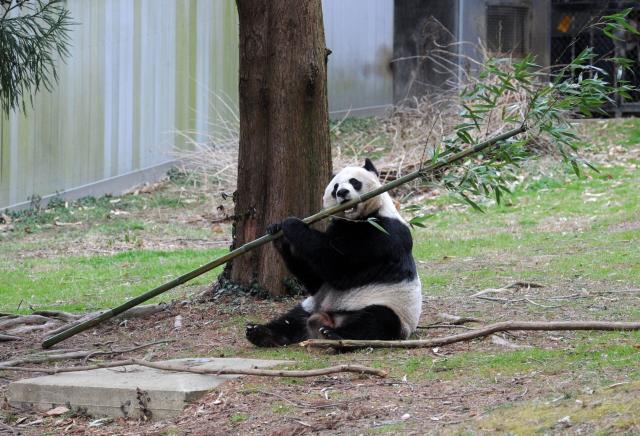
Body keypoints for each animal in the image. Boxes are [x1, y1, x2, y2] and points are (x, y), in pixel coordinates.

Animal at [244, 158, 420, 346]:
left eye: (354, 182)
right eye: (335, 187)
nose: (342, 192)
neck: (356, 220)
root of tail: (328, 319)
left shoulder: (384, 234)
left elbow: (338, 267)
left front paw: (291, 223)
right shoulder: (339, 228)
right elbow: (315, 279)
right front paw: (277, 232)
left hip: (391, 306)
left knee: (376, 321)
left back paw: (334, 335)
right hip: (311, 305)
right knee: (292, 319)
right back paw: (260, 332)